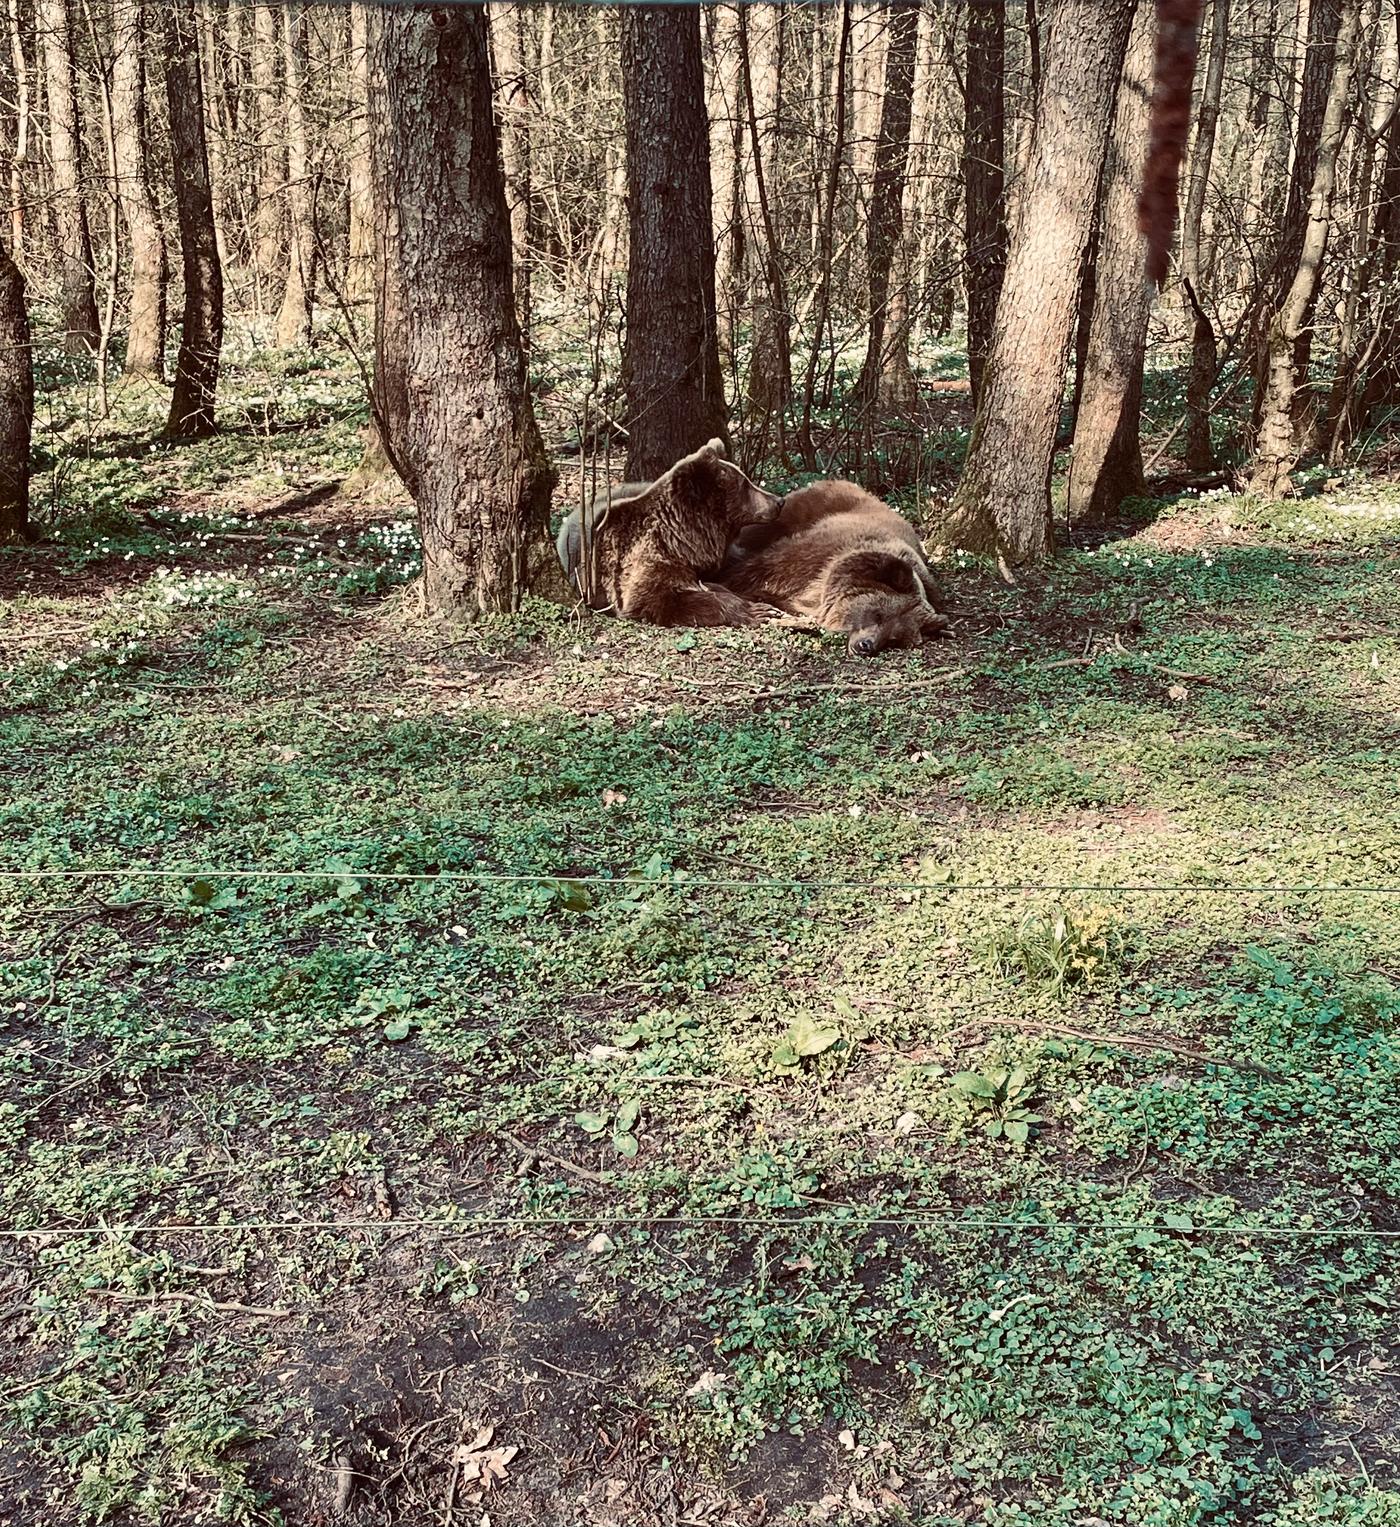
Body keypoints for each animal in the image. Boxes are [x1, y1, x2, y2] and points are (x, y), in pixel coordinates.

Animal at [554, 439, 787, 627]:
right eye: (744, 485)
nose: (778, 501)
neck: (682, 539)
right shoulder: (642, 560)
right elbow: (656, 598)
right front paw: (756, 611)